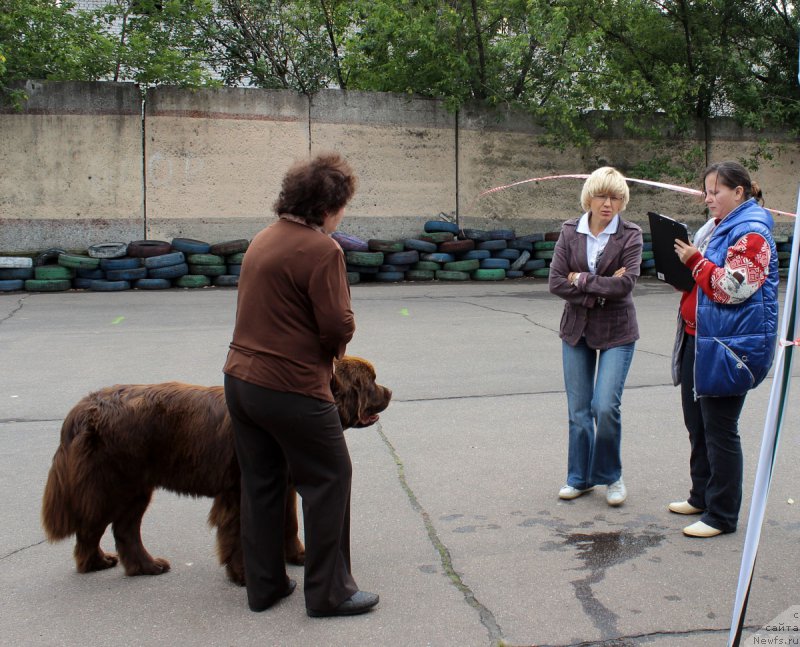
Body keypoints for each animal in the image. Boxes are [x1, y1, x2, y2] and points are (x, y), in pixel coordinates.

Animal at [42, 356, 392, 584]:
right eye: (371, 381)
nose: (389, 391)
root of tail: (84, 408)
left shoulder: (286, 484)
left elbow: (289, 524)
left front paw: (297, 557)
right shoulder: (239, 490)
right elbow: (237, 534)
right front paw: (242, 576)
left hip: (132, 488)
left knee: (117, 529)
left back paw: (135, 566)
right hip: (117, 484)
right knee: (99, 526)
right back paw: (106, 563)